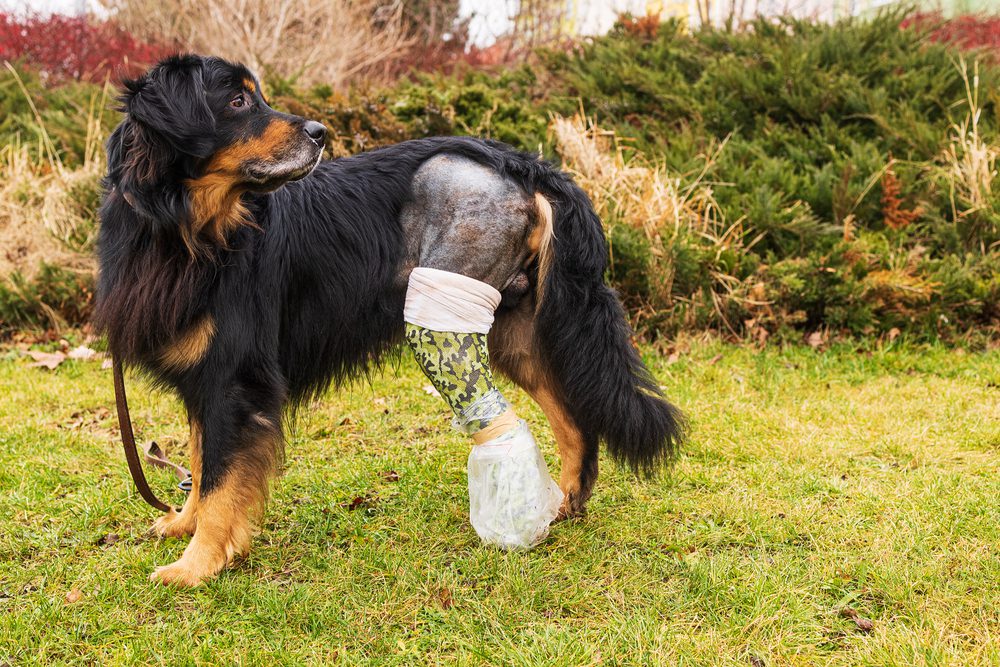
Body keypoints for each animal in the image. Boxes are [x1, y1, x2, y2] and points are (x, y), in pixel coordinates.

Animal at [97, 54, 684, 588]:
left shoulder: (234, 378)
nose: (320, 133)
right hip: (512, 332)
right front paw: (183, 524)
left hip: (448, 324)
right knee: (574, 419)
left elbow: (220, 481)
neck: (181, 231)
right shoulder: (205, 380)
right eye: (238, 101)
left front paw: (197, 564)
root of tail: (521, 163)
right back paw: (560, 505)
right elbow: (201, 466)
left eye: (254, 96)